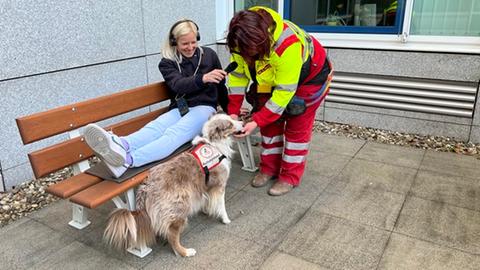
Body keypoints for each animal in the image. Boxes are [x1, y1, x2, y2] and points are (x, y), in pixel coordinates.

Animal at [102, 114, 242, 258]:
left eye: (232, 119)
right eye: (230, 125)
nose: (242, 121)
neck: (215, 144)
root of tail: (147, 186)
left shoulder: (206, 186)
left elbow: (207, 200)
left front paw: (206, 210)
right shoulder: (220, 186)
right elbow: (221, 206)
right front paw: (226, 219)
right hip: (180, 208)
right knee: (172, 234)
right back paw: (186, 251)